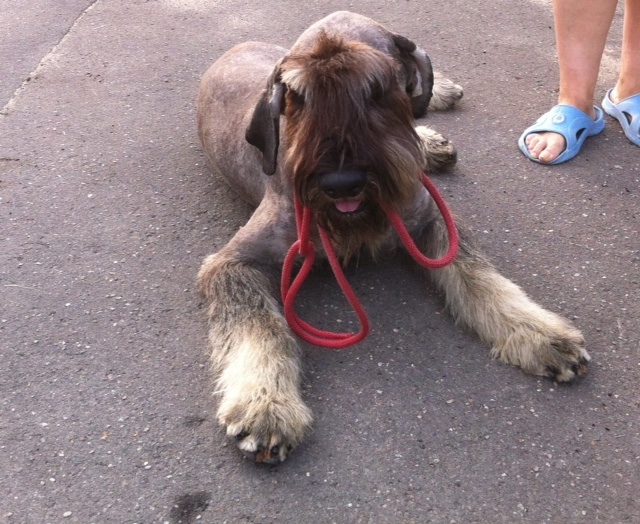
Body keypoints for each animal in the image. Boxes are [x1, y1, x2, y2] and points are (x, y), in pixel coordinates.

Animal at [196, 11, 590, 464]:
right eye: (299, 96)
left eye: (376, 89)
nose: (341, 183)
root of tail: (238, 45)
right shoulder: (233, 261)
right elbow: (259, 325)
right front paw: (265, 405)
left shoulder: (433, 221)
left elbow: (482, 280)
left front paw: (540, 333)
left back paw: (436, 120)